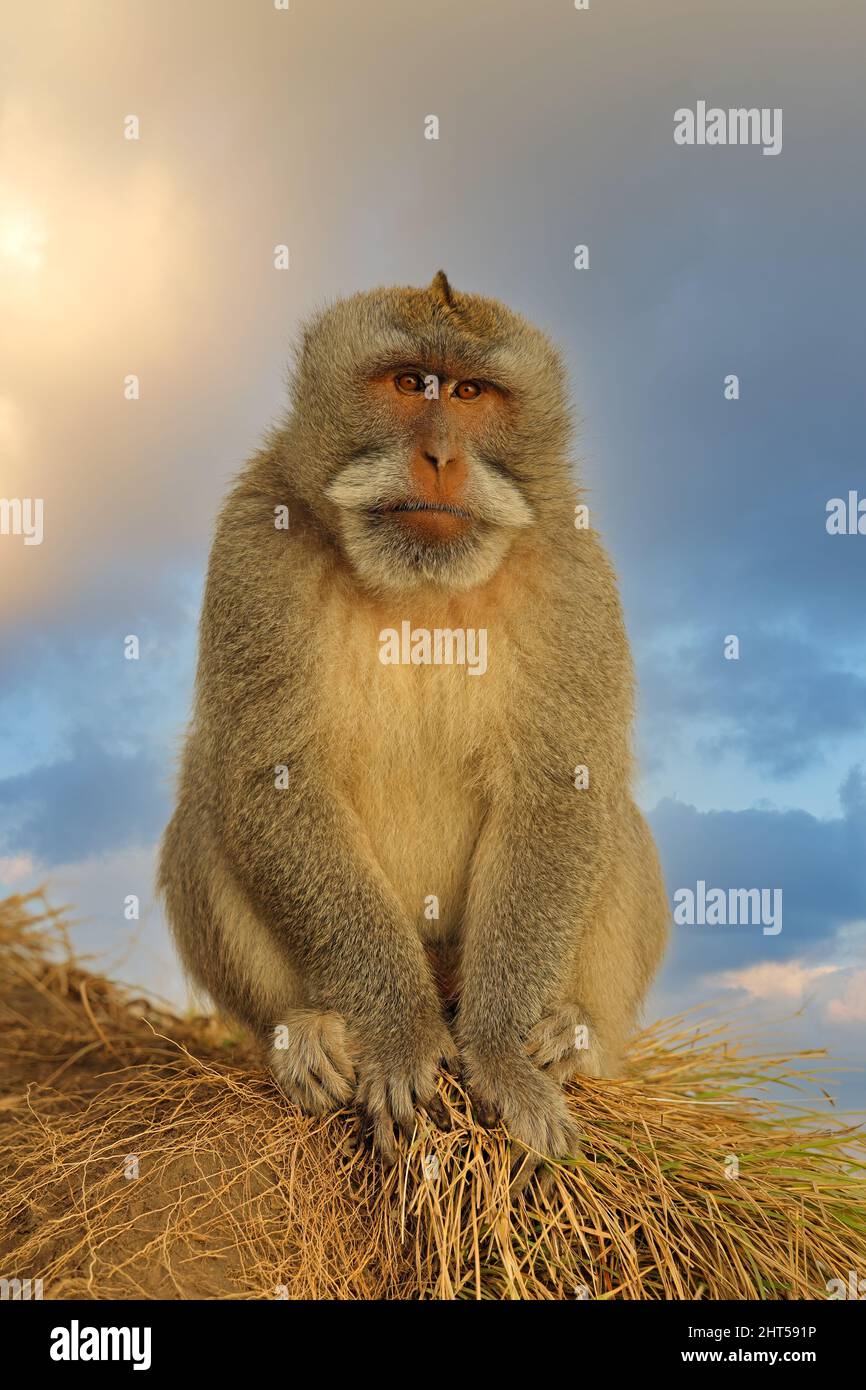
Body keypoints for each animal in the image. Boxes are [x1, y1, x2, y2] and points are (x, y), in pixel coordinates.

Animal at [158, 271, 669, 1169]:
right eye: (407, 383)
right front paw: (396, 1034)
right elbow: (270, 778)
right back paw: (304, 1033)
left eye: (468, 393)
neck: (421, 586)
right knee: (210, 799)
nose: (440, 456)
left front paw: (499, 1052)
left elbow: (563, 787)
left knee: (612, 815)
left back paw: (574, 1035)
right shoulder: (256, 537)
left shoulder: (571, 567)